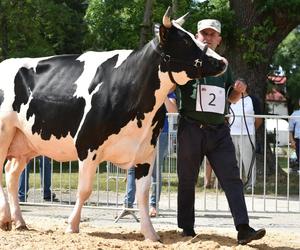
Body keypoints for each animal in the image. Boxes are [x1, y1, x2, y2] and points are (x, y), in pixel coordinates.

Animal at [0, 7, 226, 241]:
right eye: (186, 41)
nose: (222, 62)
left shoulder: (146, 152)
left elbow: (143, 194)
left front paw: (150, 233)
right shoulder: (87, 145)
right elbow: (84, 190)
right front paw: (72, 225)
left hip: (24, 141)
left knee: (11, 173)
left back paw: (19, 221)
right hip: (4, 133)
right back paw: (6, 217)